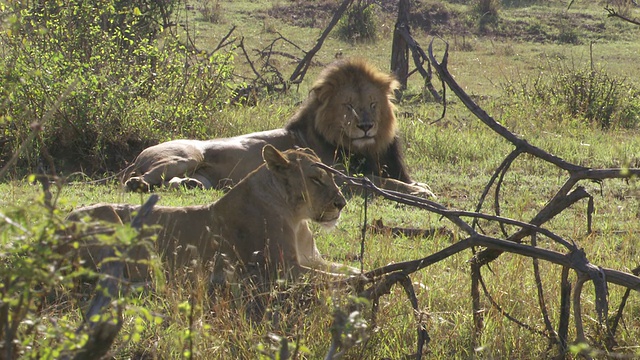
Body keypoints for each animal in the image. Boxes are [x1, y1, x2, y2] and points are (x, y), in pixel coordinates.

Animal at [69, 145, 360, 282]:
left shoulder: (313, 260)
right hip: (107, 216)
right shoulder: (284, 269)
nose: (342, 203)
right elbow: (336, 279)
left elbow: (351, 269)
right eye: (315, 179)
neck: (299, 220)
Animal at [124, 60, 436, 198]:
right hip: (187, 155)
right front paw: (420, 191)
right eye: (348, 106)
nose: (366, 127)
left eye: (372, 103)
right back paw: (138, 184)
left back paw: (188, 184)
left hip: (201, 175)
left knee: (177, 183)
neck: (364, 147)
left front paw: (418, 185)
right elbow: (381, 182)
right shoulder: (340, 178)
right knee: (140, 179)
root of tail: (138, 155)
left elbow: (392, 179)